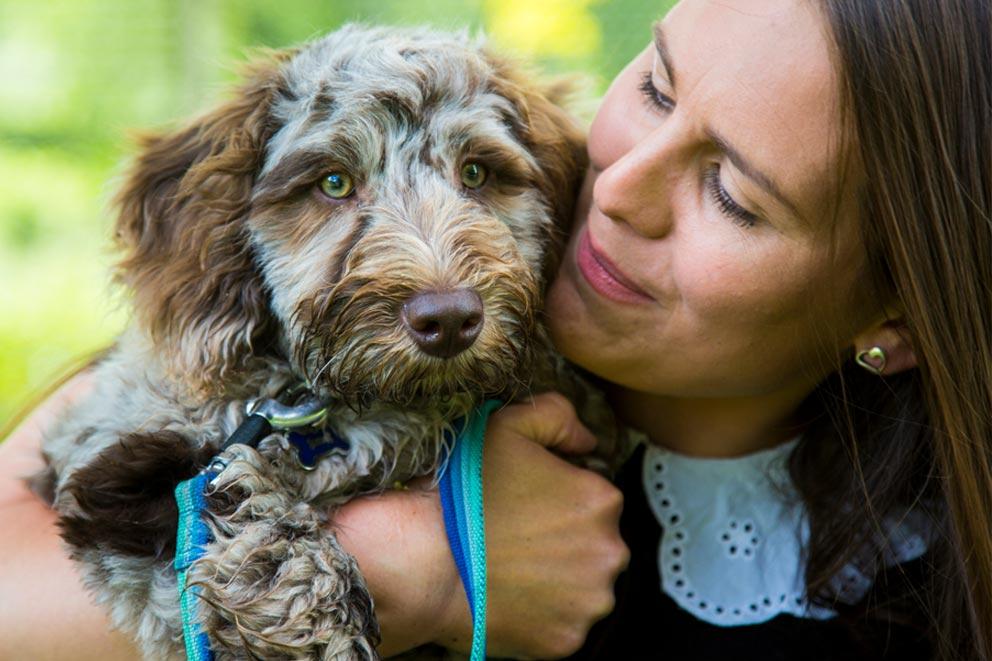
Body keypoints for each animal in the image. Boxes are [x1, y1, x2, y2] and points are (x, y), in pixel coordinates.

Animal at [35, 23, 616, 656]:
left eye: (477, 174)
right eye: (334, 182)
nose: (448, 319)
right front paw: (308, 600)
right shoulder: (117, 462)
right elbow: (221, 499)